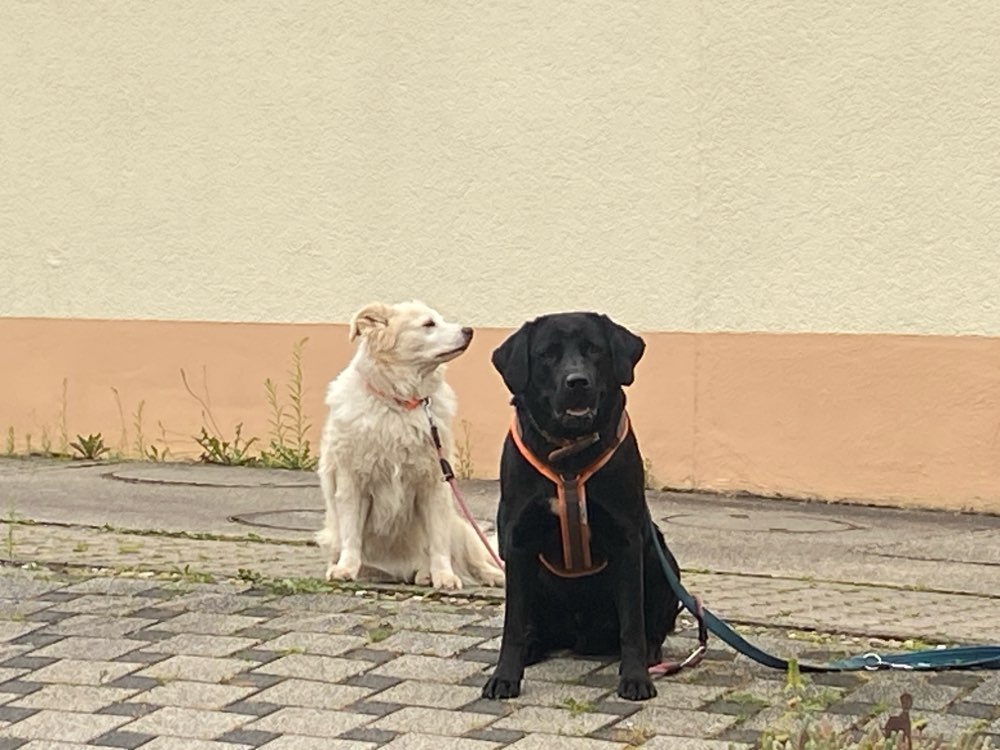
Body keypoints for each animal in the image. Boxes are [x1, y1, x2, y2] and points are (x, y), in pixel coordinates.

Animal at [318, 302, 508, 592]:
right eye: (428, 324)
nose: (469, 330)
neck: (398, 404)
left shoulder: (434, 486)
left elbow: (438, 543)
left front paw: (444, 576)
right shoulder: (352, 483)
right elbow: (352, 535)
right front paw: (345, 569)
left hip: (460, 528)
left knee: (475, 562)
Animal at [482, 312, 684, 704]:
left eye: (594, 350)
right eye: (547, 354)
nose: (577, 382)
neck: (568, 454)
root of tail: (581, 637)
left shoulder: (627, 539)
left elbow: (632, 624)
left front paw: (635, 677)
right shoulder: (517, 541)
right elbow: (512, 626)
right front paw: (505, 676)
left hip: (660, 559)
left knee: (648, 626)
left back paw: (651, 654)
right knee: (533, 627)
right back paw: (533, 646)